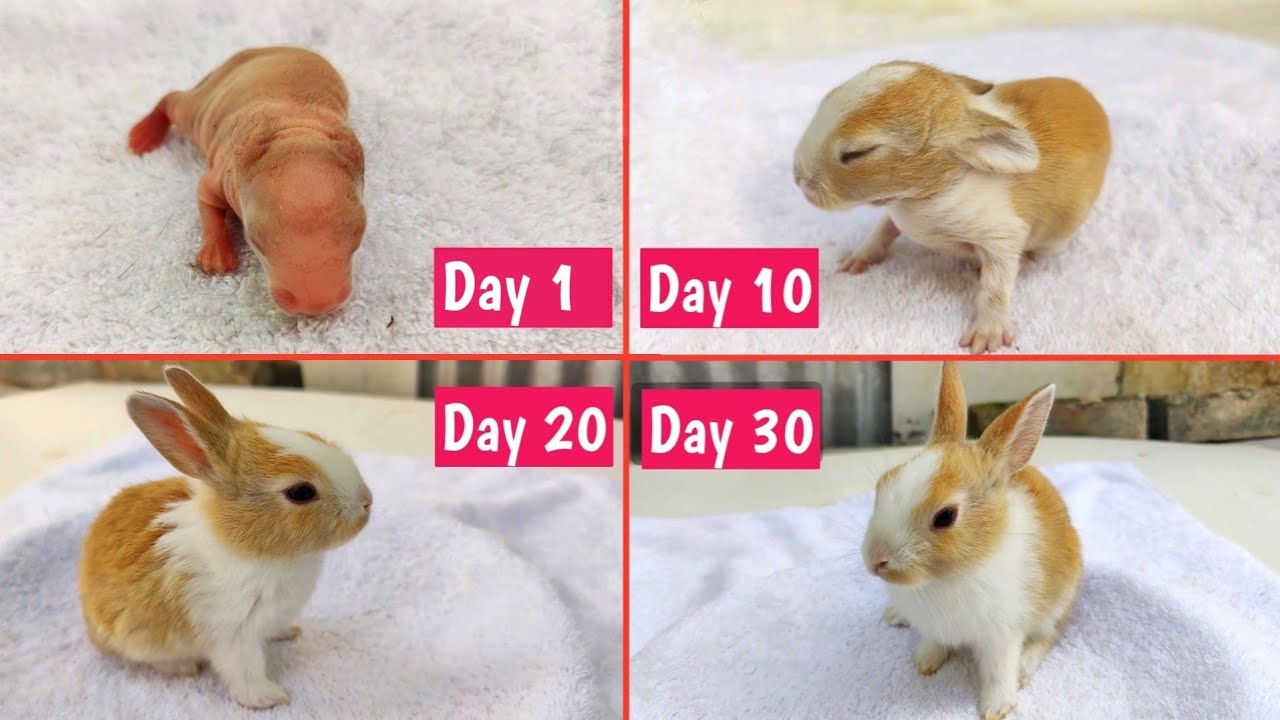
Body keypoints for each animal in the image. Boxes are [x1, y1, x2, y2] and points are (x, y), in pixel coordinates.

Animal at [78, 366, 373, 709]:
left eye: (312, 435)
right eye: (301, 492)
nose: (367, 501)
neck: (244, 546)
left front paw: (288, 633)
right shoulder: (232, 634)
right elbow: (245, 671)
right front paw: (269, 698)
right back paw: (184, 667)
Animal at [794, 61, 1111, 354]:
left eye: (856, 153)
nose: (798, 178)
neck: (938, 186)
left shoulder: (1002, 233)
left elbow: (997, 283)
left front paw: (988, 335)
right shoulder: (895, 211)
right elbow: (882, 231)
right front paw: (856, 259)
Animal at [860, 362, 1082, 720]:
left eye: (946, 516)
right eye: (884, 482)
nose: (875, 560)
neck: (945, 578)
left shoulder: (1001, 636)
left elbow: (998, 672)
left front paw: (996, 708)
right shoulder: (934, 628)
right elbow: (933, 643)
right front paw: (925, 664)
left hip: (1057, 604)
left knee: (1049, 636)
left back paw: (1024, 669)